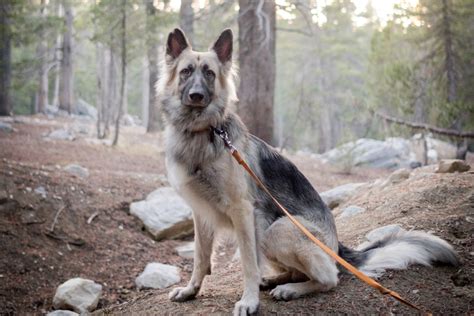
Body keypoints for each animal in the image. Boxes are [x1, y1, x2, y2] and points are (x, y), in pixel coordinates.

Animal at [160, 28, 460, 314]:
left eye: (209, 73)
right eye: (186, 71)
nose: (196, 96)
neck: (203, 133)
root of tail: (337, 247)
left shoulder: (242, 210)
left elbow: (248, 263)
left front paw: (249, 301)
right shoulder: (201, 213)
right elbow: (200, 258)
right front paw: (191, 290)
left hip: (276, 229)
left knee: (330, 277)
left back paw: (291, 289)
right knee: (299, 271)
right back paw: (277, 281)